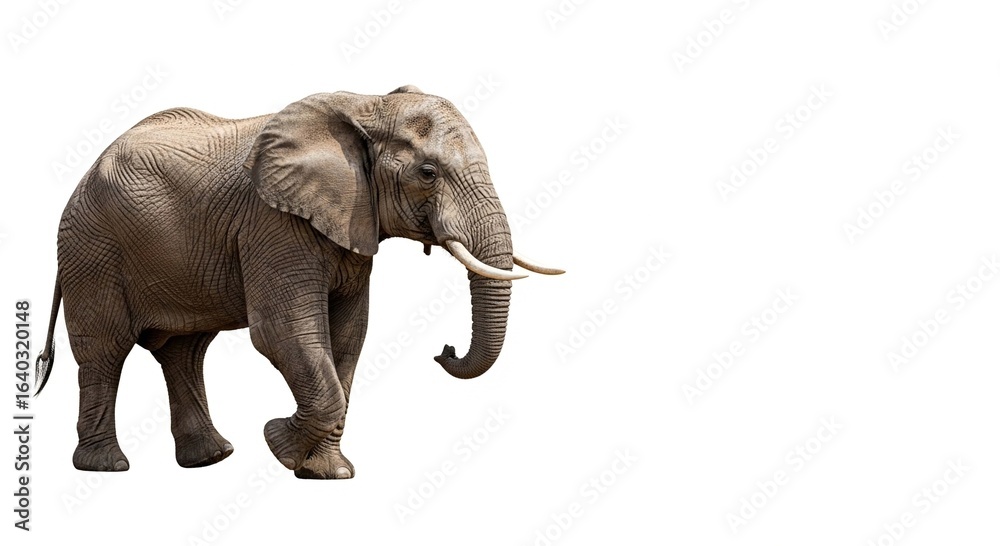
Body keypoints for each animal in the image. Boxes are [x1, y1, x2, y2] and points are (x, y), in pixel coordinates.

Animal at [33, 85, 562, 479]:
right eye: (428, 173)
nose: (445, 351)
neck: (367, 104)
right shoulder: (273, 223)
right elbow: (285, 333)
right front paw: (278, 444)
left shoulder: (352, 223)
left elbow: (348, 336)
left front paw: (327, 473)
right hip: (91, 248)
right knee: (105, 349)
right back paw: (106, 467)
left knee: (184, 350)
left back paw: (211, 459)